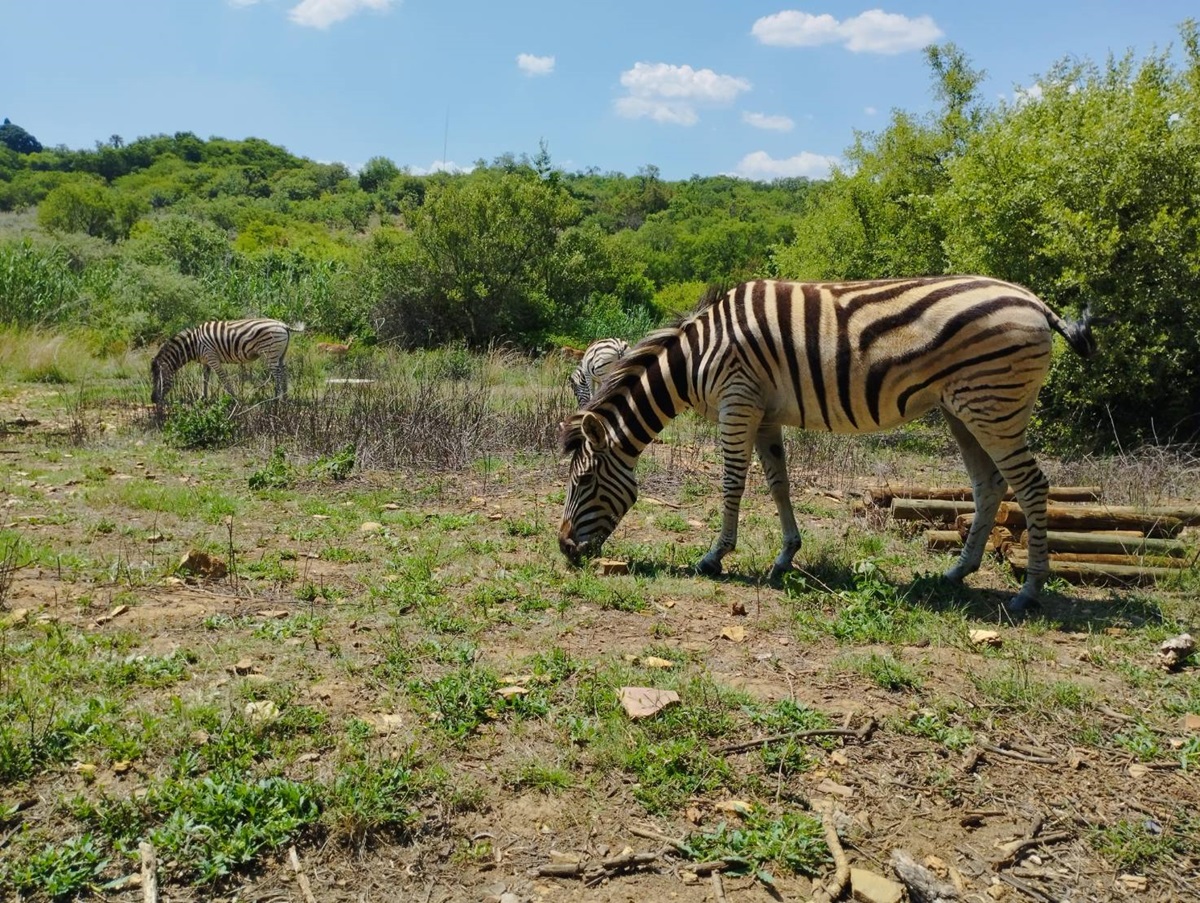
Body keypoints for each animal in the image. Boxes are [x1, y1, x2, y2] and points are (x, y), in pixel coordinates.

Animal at [150, 314, 307, 403]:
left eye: (159, 379)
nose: (153, 400)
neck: (193, 344)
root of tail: (283, 325)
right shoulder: (206, 361)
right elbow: (204, 379)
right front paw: (203, 398)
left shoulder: (212, 357)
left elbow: (223, 378)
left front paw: (234, 397)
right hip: (280, 354)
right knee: (284, 370)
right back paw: (284, 396)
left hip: (270, 353)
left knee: (278, 373)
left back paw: (277, 398)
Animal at [554, 277, 1099, 614]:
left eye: (584, 481)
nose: (564, 550)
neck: (695, 357)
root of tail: (1035, 301)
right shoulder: (764, 413)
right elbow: (778, 484)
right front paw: (785, 556)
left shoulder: (738, 400)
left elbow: (732, 483)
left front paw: (714, 556)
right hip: (964, 410)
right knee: (989, 485)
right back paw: (956, 572)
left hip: (993, 405)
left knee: (1032, 485)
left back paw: (1029, 590)